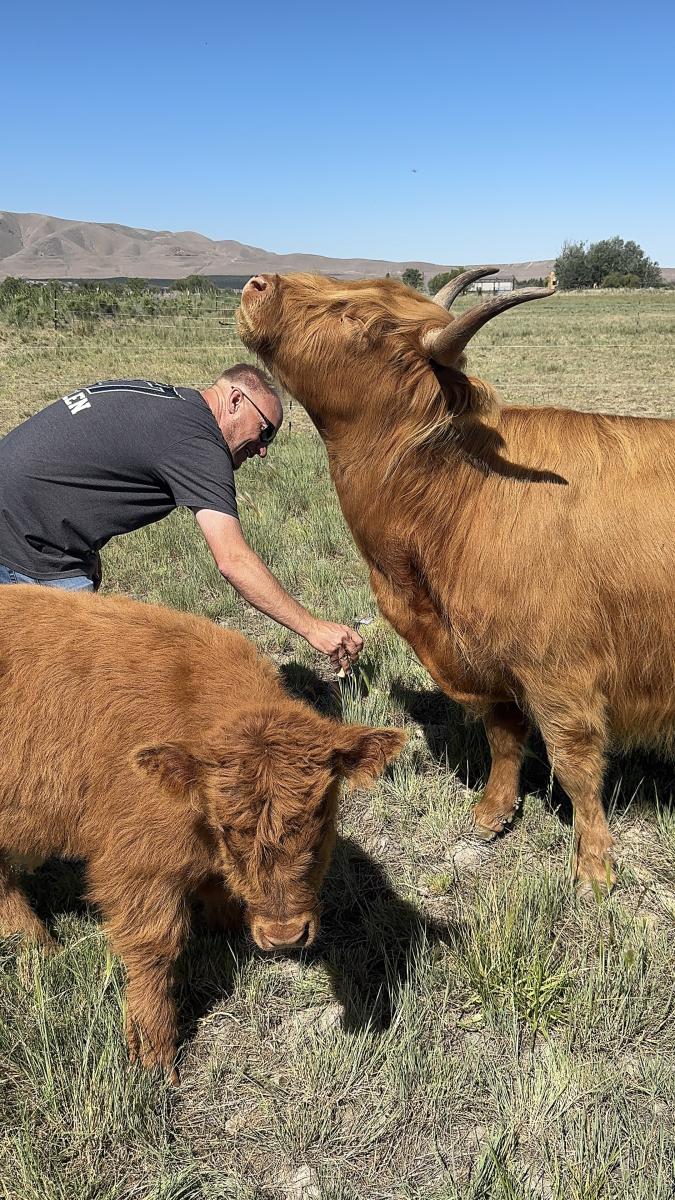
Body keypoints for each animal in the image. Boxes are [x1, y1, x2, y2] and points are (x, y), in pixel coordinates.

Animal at [0, 587, 404, 1076]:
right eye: (228, 826)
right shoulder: (137, 867)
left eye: (322, 813)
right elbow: (154, 952)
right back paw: (41, 946)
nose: (285, 935)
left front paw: (228, 926)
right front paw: (154, 1055)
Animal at [237, 268, 675, 894]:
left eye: (358, 319)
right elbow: (503, 734)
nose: (256, 284)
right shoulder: (489, 657)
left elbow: (575, 765)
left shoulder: (562, 671)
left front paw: (593, 866)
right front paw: (492, 813)